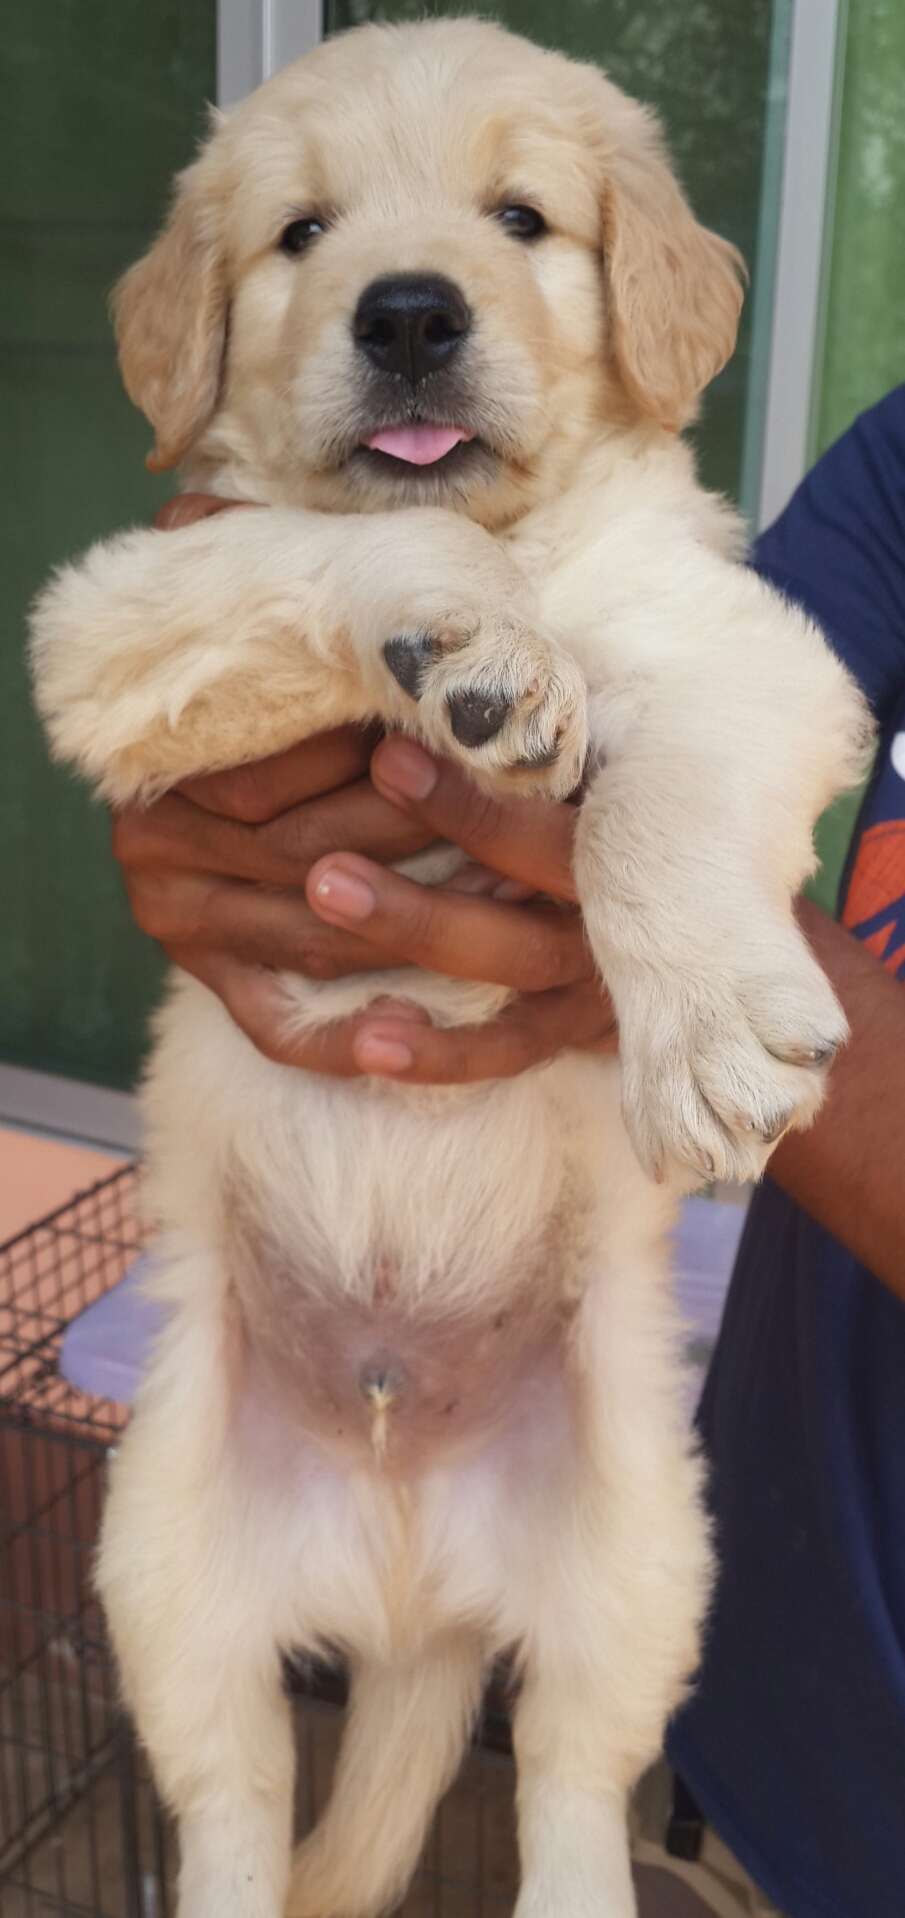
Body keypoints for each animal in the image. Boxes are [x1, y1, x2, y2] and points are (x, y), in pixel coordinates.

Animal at [30, 20, 870, 1918]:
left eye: (521, 219)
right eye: (300, 233)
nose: (408, 313)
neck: (539, 540)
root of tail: (408, 1574)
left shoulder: (743, 650)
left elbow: (656, 790)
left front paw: (706, 1031)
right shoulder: (119, 607)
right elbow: (328, 546)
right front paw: (468, 633)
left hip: (641, 1562)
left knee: (567, 1774)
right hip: (168, 1576)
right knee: (235, 1803)